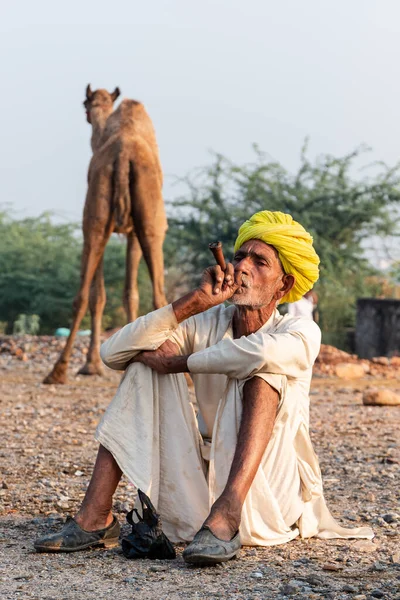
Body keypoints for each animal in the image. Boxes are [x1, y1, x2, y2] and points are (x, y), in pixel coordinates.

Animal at [43, 84, 167, 384]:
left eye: (84, 103)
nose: (87, 113)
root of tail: (123, 154)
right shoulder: (130, 232)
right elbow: (125, 294)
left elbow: (104, 295)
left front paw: (92, 365)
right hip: (147, 223)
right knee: (158, 293)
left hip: (97, 221)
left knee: (82, 295)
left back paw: (58, 371)